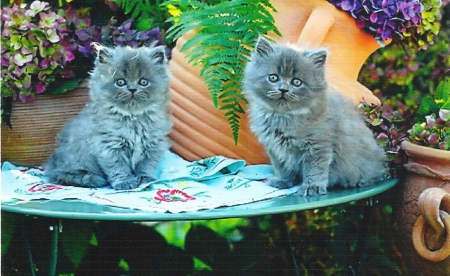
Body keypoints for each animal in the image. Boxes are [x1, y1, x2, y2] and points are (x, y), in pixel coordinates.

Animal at [45, 44, 172, 190]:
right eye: (120, 82)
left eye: (143, 82)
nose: (132, 89)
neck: (133, 118)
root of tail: (52, 165)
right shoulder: (109, 146)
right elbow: (118, 168)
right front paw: (125, 183)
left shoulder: (153, 145)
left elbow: (147, 166)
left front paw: (145, 179)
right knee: (67, 175)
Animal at [243, 36, 386, 196]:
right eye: (273, 78)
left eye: (296, 82)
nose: (283, 90)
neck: (283, 116)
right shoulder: (275, 148)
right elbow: (282, 168)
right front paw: (281, 181)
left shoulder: (318, 145)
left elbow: (315, 170)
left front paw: (312, 187)